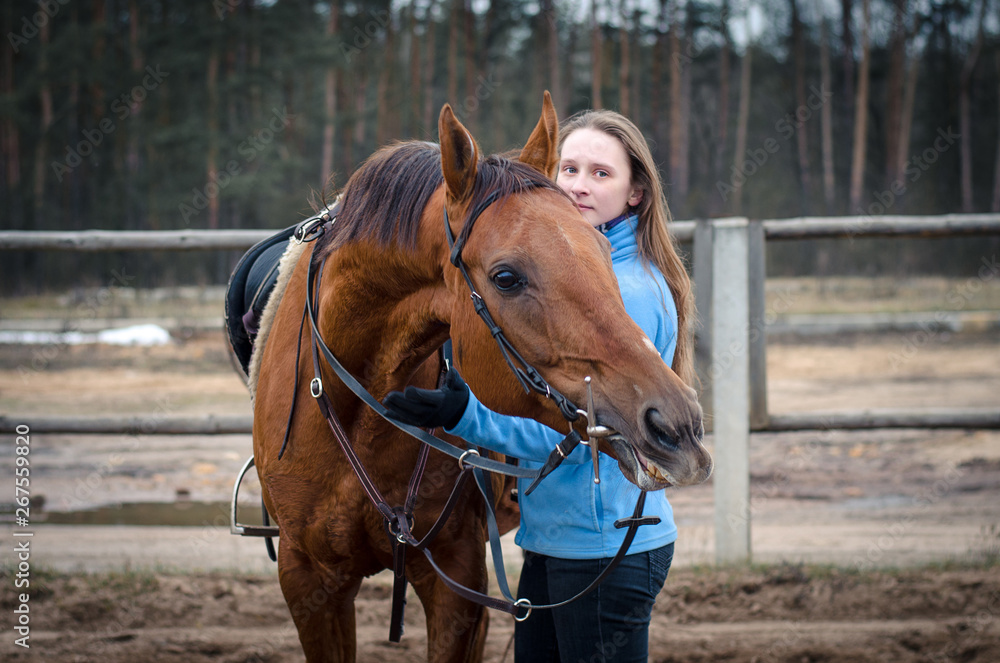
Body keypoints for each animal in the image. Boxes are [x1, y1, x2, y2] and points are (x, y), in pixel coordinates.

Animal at [250, 94, 716, 663]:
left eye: (604, 251)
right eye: (506, 277)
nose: (677, 426)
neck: (352, 415)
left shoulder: (457, 578)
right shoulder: (308, 581)